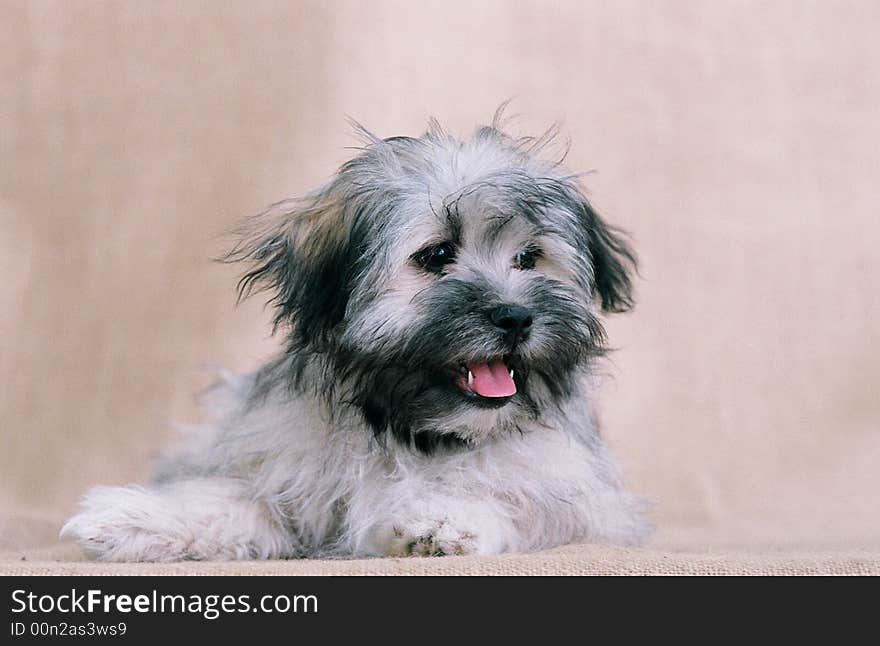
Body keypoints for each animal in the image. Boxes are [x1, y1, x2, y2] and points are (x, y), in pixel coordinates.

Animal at [62, 115, 648, 560]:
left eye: (529, 257)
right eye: (436, 255)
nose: (516, 317)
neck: (409, 432)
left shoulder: (583, 506)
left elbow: (511, 498)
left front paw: (446, 515)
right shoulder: (286, 473)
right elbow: (231, 499)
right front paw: (135, 518)